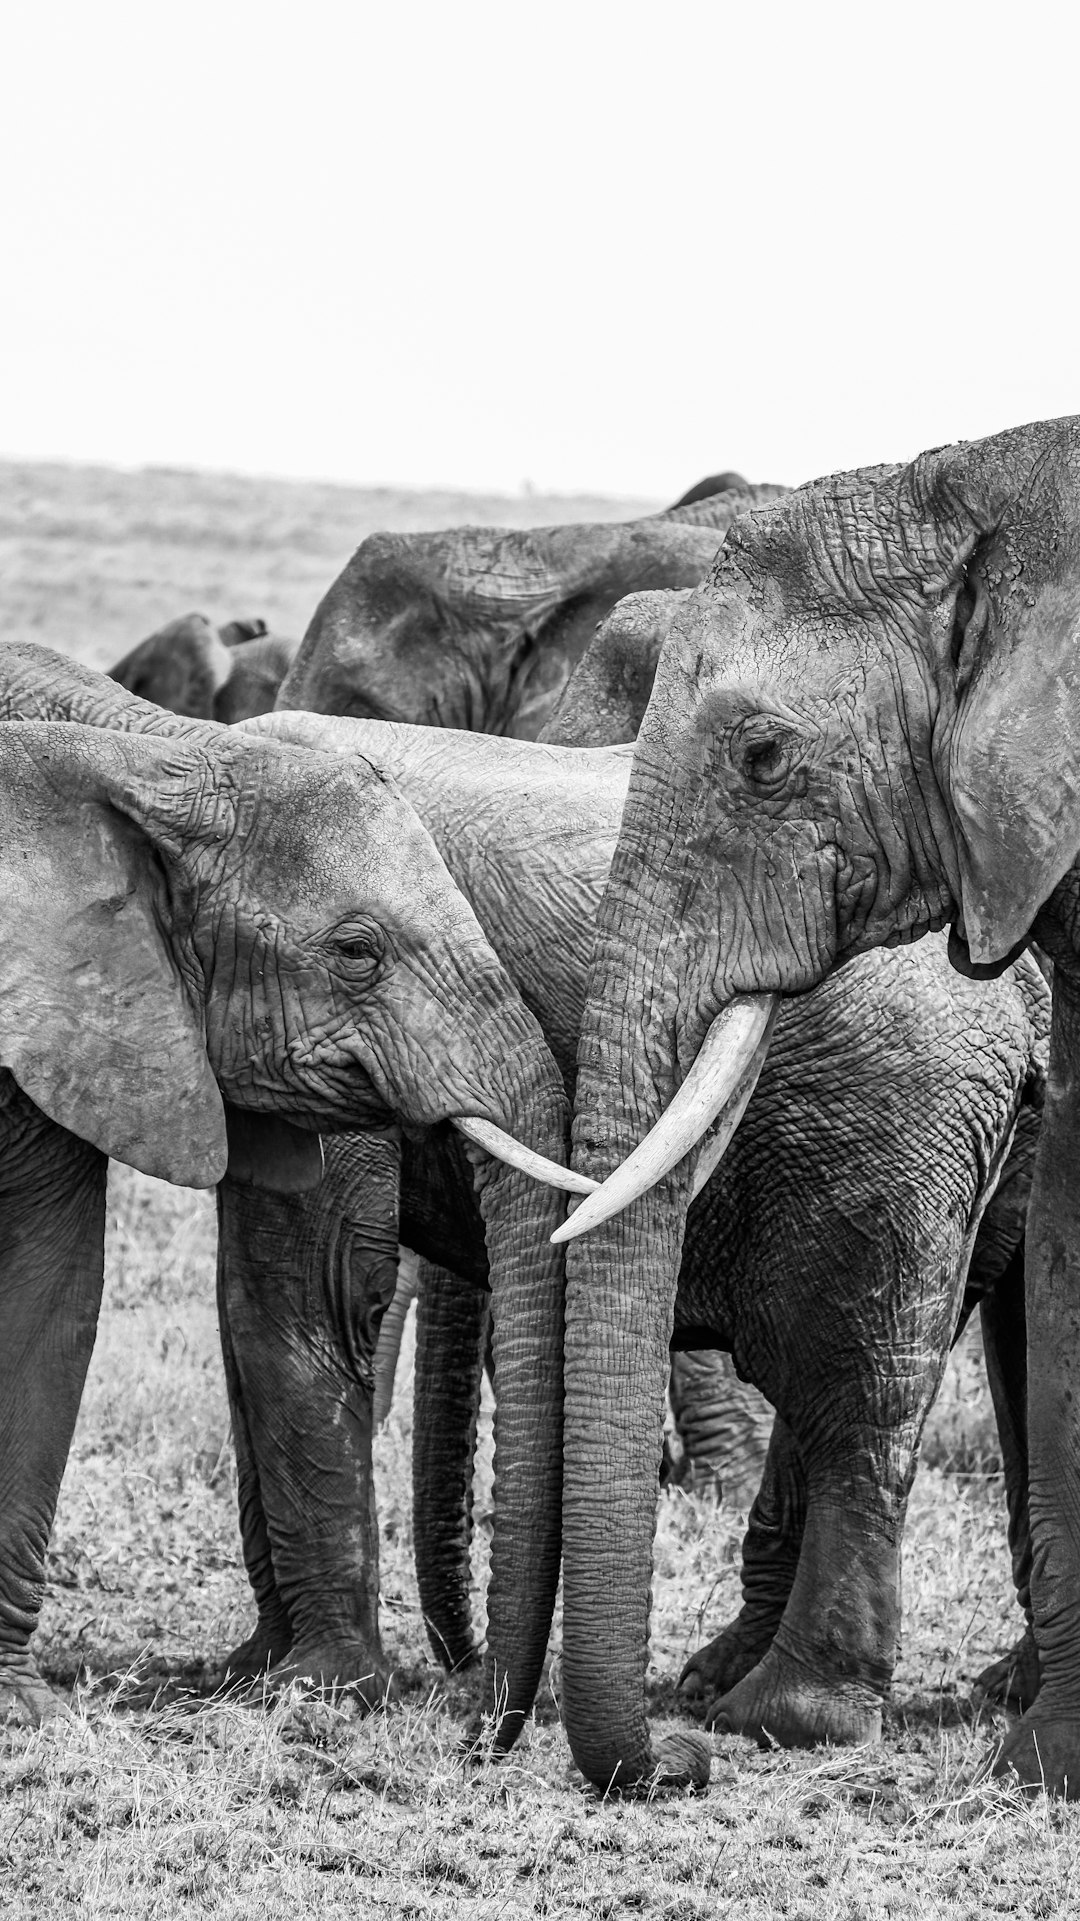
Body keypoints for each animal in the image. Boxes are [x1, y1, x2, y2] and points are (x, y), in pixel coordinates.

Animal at [226, 708, 1046, 1777]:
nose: (468, 1698)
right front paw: (252, 1673)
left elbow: (301, 1301)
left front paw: (304, 1691)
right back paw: (735, 1690)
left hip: (893, 1133)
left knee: (855, 1394)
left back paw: (778, 1719)